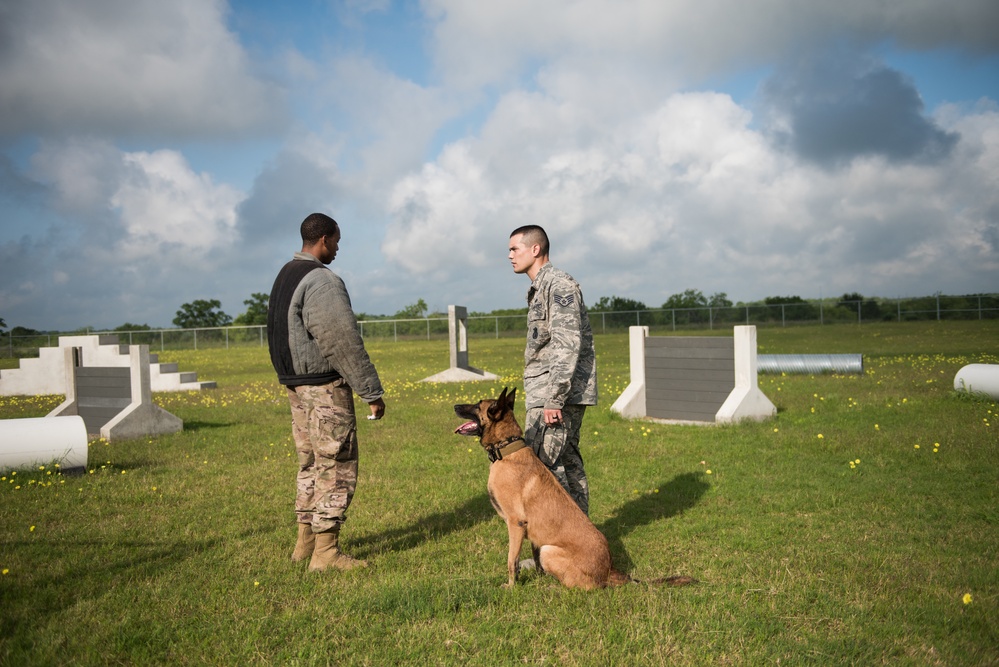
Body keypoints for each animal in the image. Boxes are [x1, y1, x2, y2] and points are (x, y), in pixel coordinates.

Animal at [456, 386, 632, 588]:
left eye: (478, 405)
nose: (455, 406)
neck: (507, 448)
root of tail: (609, 570)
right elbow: (525, 557)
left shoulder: (515, 523)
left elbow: (511, 560)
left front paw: (511, 586)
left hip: (548, 550)